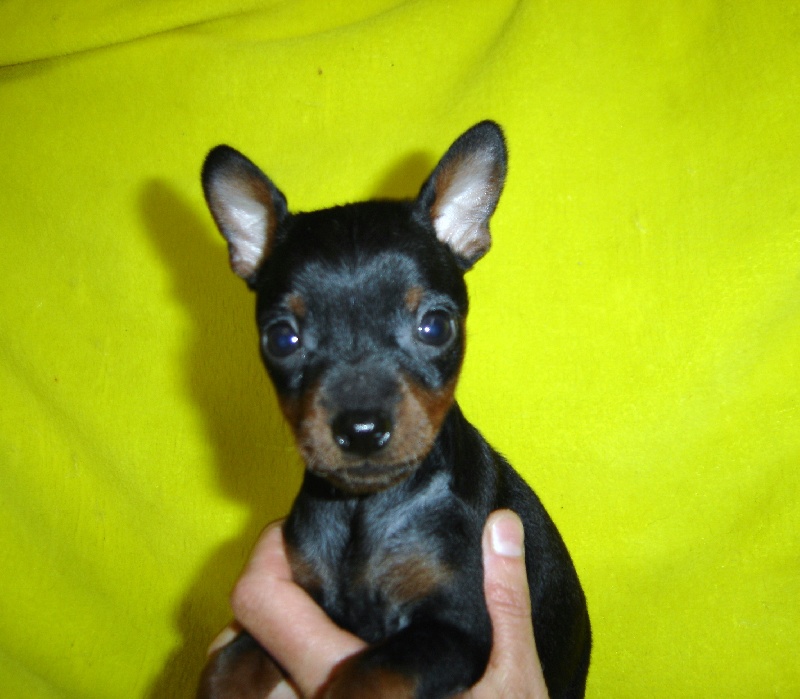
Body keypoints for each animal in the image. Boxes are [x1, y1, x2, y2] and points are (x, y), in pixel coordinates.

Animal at [197, 121, 591, 698]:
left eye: (436, 326)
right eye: (281, 338)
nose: (361, 430)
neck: (365, 510)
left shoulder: (458, 632)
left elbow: (366, 672)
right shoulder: (304, 596)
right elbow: (229, 663)